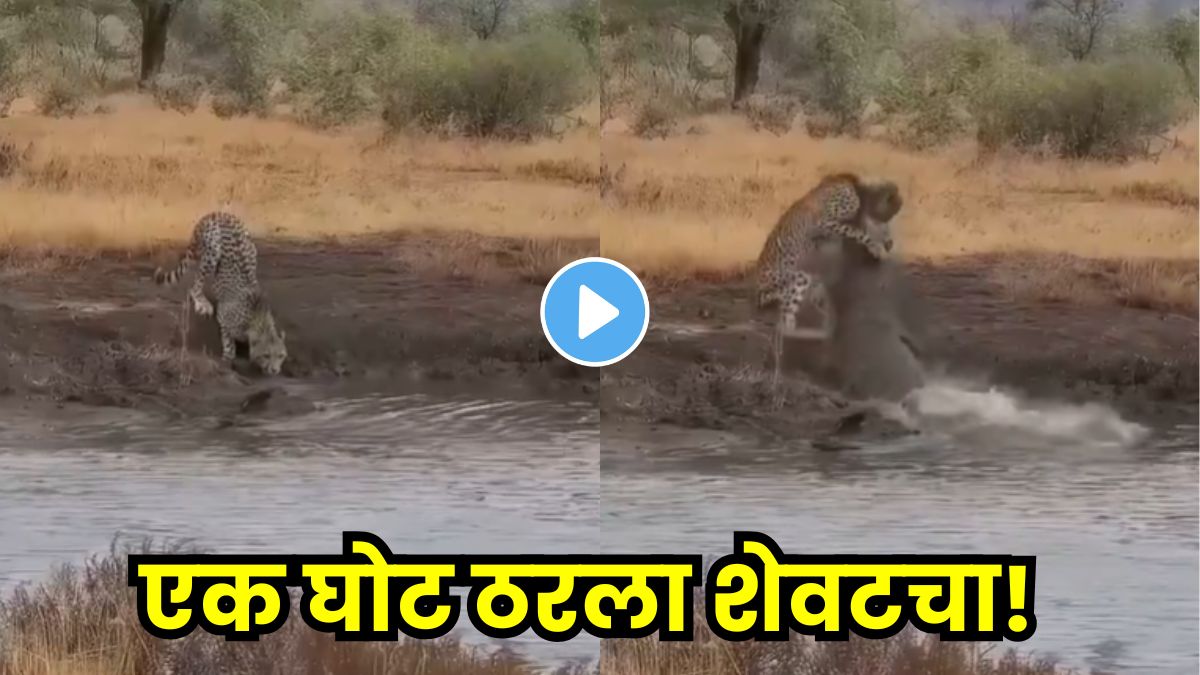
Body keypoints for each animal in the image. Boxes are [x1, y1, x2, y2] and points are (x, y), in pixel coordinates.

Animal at [154, 211, 287, 376]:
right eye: (266, 355)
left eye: (281, 355)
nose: (275, 370)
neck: (258, 320)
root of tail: (217, 213)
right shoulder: (223, 317)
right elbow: (229, 343)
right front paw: (228, 357)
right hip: (213, 246)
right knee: (195, 285)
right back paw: (202, 303)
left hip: (251, 246)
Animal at [754, 172, 904, 387]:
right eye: (894, 203)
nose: (900, 203)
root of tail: (756, 285)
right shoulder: (824, 222)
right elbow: (857, 231)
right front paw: (876, 245)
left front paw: (885, 240)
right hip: (799, 276)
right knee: (786, 319)